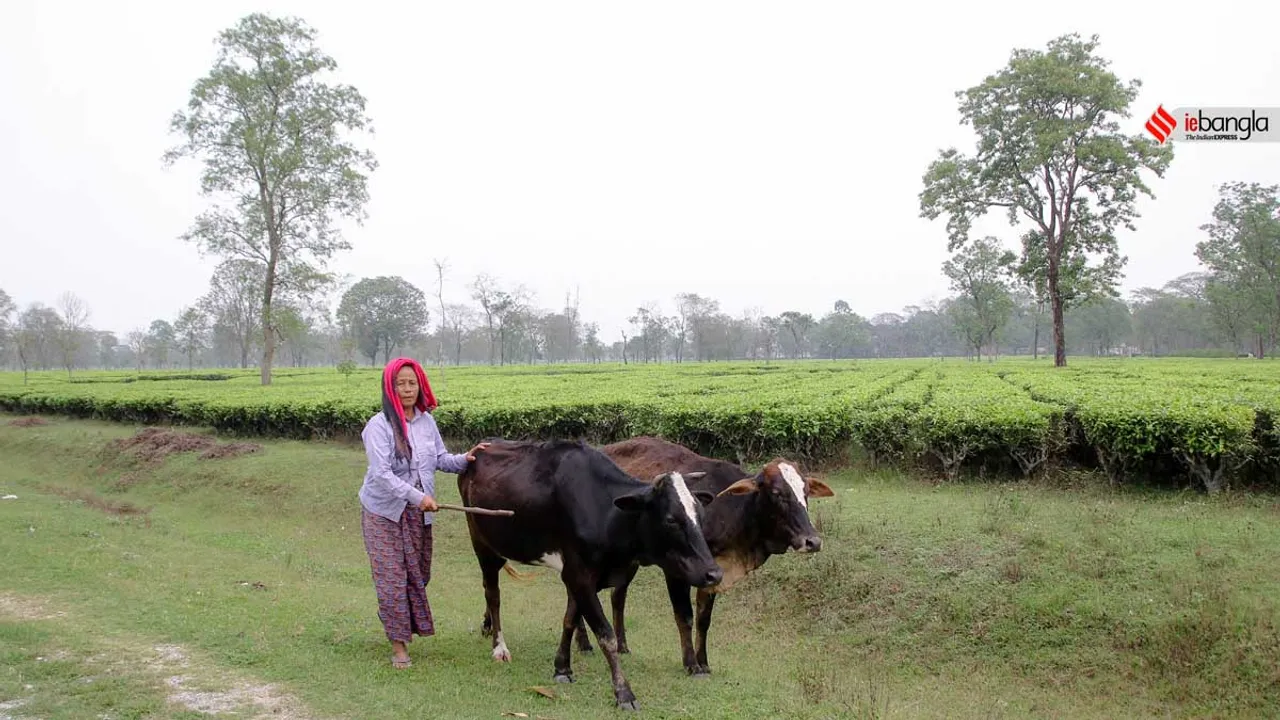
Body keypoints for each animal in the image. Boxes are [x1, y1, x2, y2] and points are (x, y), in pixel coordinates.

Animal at [458, 435, 721, 707]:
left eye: (700, 514)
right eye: (671, 519)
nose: (713, 574)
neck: (606, 514)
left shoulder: (579, 577)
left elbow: (569, 620)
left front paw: (562, 668)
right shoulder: (579, 576)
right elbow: (606, 635)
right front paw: (624, 693)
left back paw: (487, 626)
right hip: (482, 544)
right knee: (493, 595)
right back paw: (499, 647)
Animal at [573, 435, 839, 676]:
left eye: (805, 492)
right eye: (776, 493)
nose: (812, 541)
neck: (732, 509)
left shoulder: (713, 572)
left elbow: (704, 619)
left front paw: (704, 662)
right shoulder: (676, 570)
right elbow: (685, 616)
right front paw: (691, 664)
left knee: (618, 596)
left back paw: (622, 645)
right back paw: (584, 643)